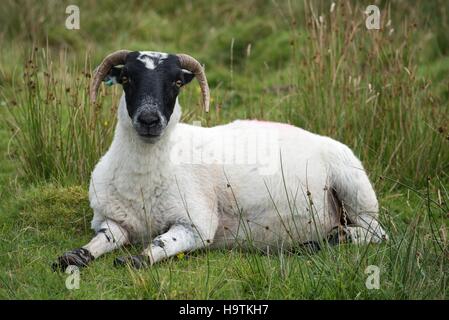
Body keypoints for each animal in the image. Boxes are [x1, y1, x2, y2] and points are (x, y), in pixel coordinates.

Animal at [52, 50, 386, 270]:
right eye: (126, 78)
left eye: (176, 82)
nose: (149, 120)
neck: (145, 178)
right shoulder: (113, 219)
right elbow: (103, 239)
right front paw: (74, 256)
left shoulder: (197, 225)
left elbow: (160, 244)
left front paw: (137, 259)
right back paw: (316, 241)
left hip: (357, 191)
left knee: (377, 234)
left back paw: (337, 237)